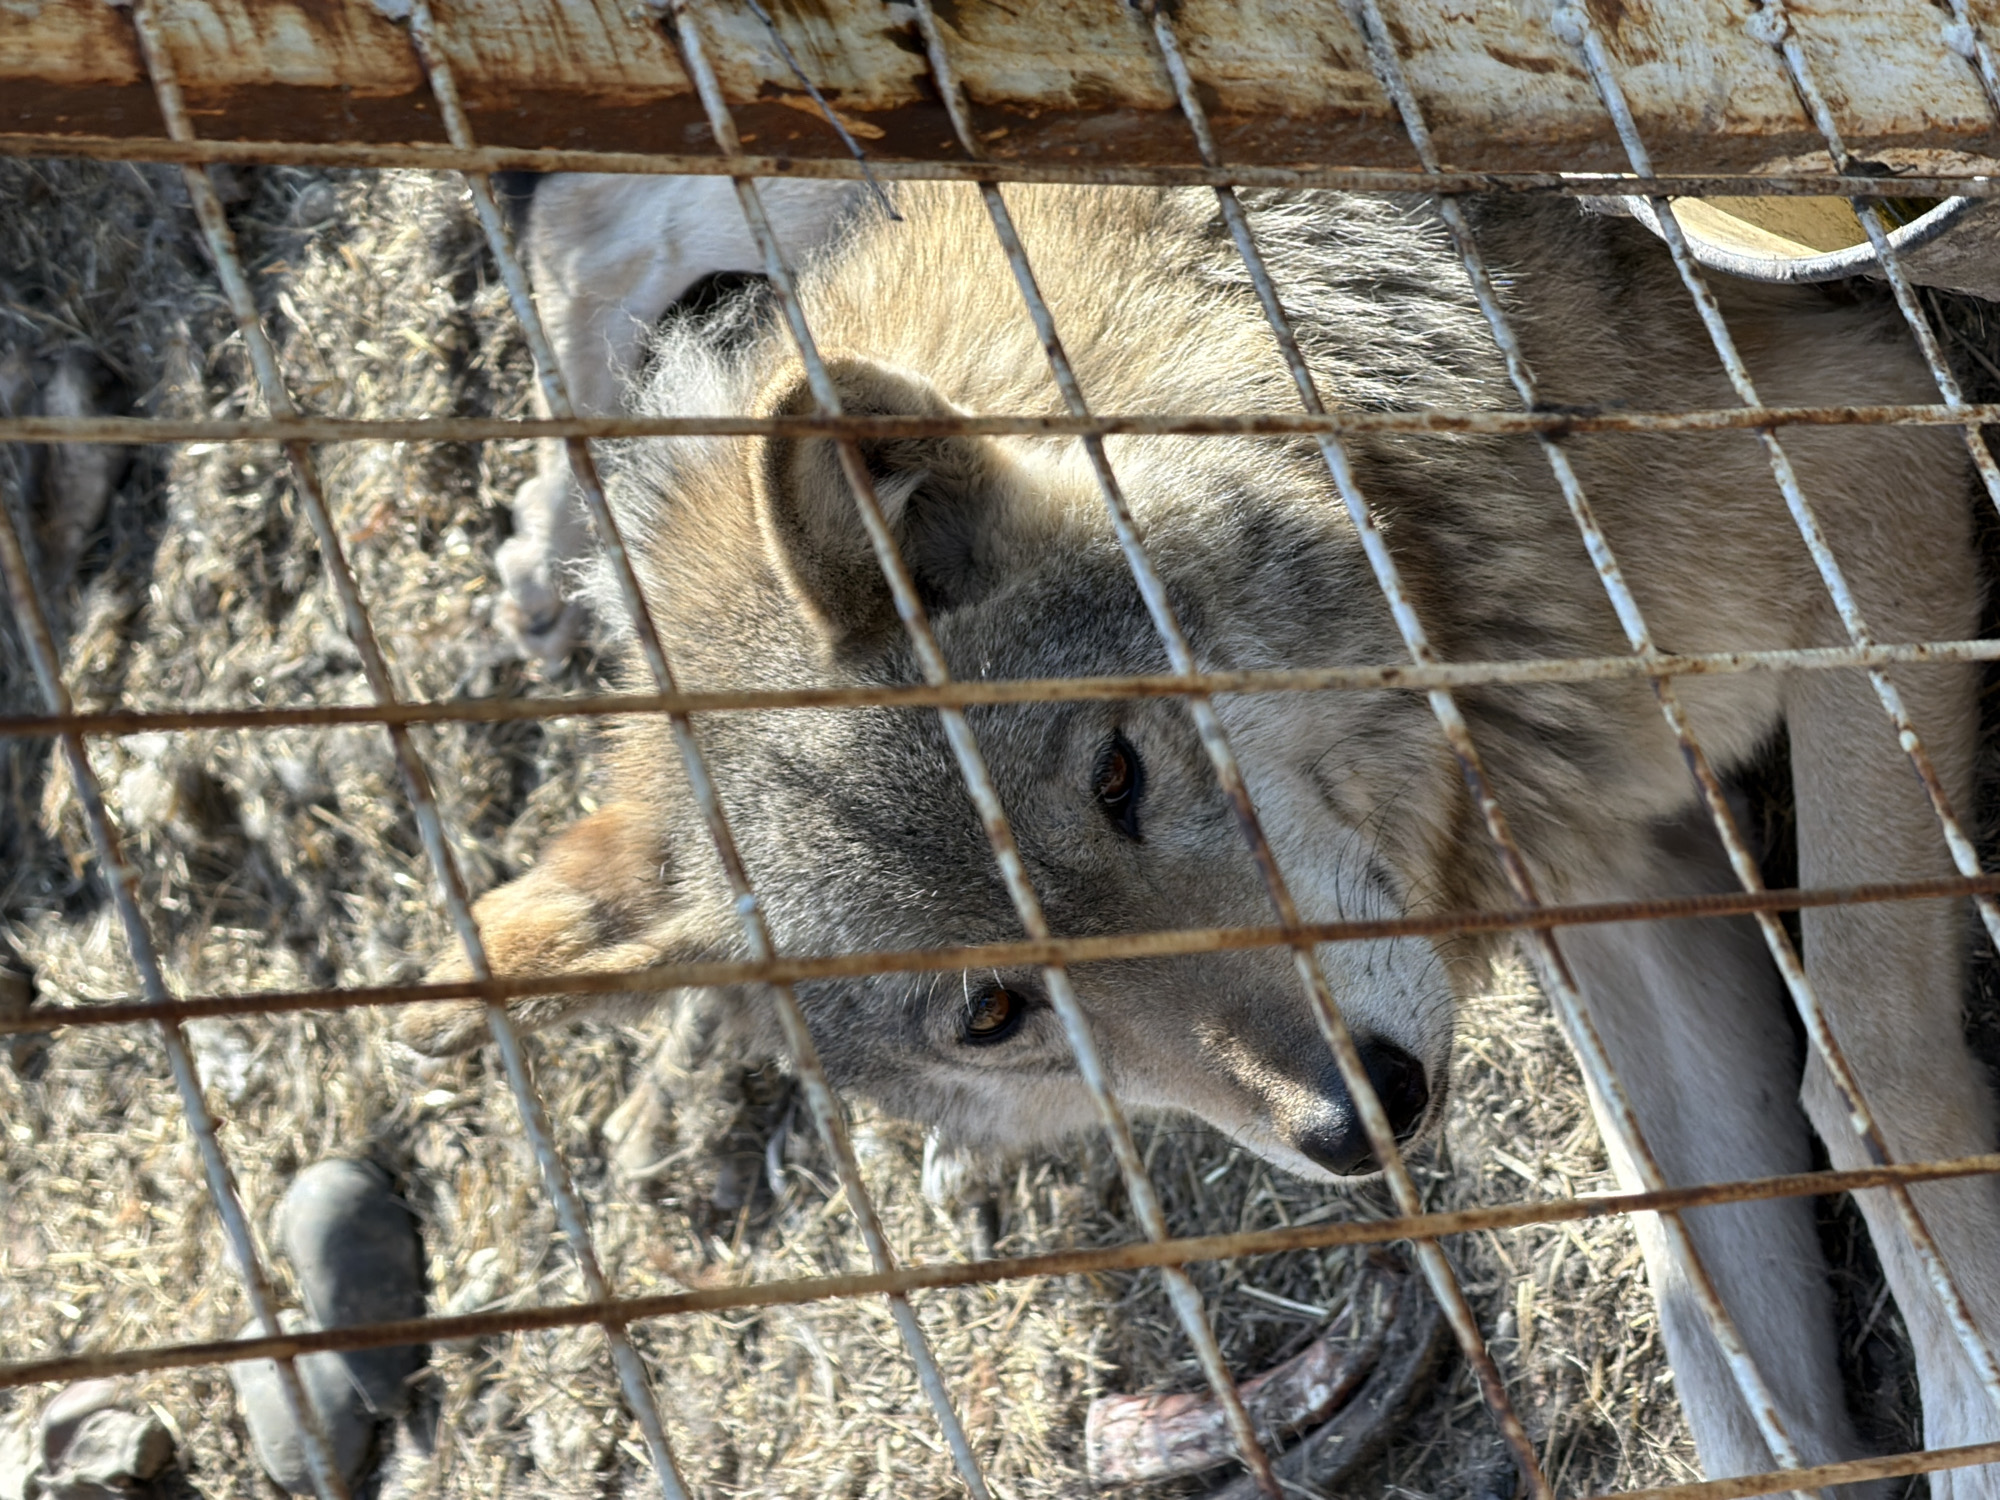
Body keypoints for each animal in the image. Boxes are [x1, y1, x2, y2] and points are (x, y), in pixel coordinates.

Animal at [408, 180, 2000, 1488]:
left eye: (1118, 775)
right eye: (995, 1013)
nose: (1362, 1121)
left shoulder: (1869, 475)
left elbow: (1858, 1077)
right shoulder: (1607, 872)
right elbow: (1723, 1361)